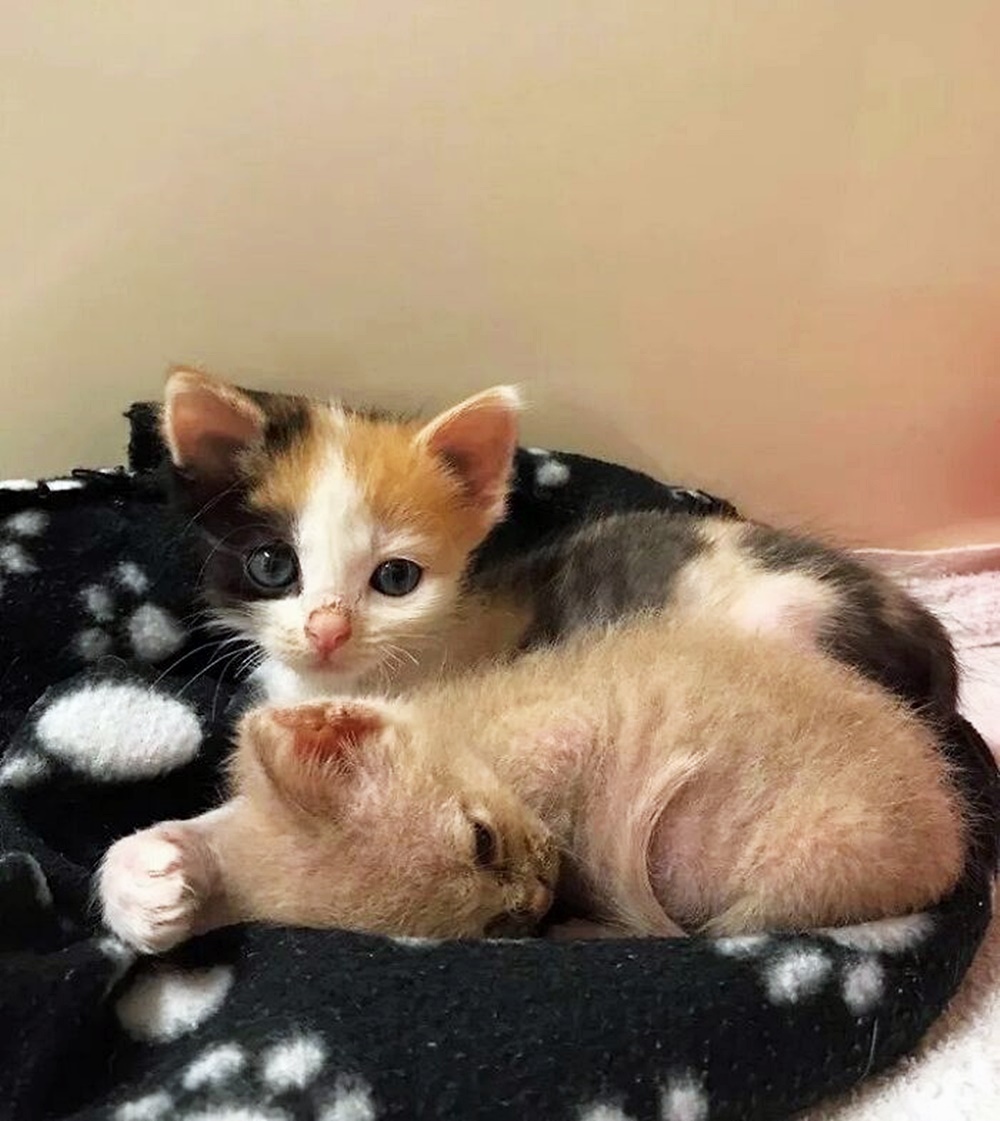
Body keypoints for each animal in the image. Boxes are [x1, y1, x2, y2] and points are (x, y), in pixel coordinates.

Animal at [98, 613, 964, 951]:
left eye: (482, 841)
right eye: (493, 928)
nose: (539, 899)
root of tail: (950, 836)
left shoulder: (565, 730)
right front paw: (148, 884)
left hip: (814, 856)